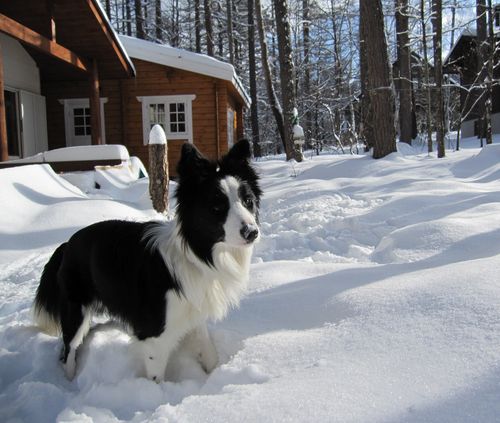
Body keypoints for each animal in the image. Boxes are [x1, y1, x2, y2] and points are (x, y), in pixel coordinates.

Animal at [33, 139, 262, 380]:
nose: (252, 232)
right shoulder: (155, 336)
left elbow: (208, 350)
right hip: (75, 310)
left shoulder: (193, 313)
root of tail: (67, 244)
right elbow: (156, 377)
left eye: (248, 201)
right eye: (217, 208)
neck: (197, 255)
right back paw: (68, 380)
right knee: (68, 349)